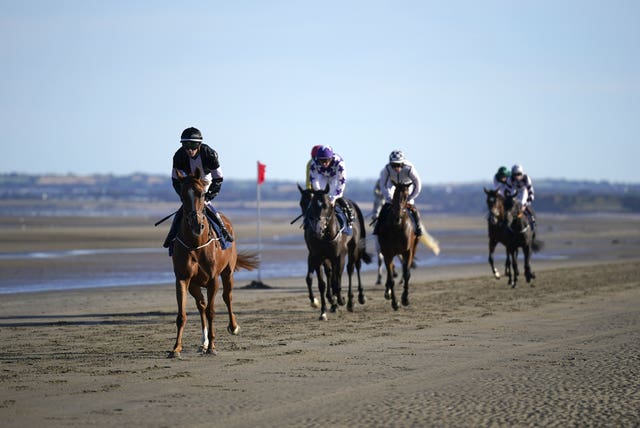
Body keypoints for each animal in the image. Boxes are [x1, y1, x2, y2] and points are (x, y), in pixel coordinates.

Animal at [171, 171, 262, 358]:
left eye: (201, 193)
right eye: (182, 195)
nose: (196, 224)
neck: (196, 244)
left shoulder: (214, 280)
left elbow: (212, 311)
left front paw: (212, 346)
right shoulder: (183, 278)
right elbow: (182, 314)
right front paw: (176, 348)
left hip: (228, 273)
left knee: (227, 297)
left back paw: (233, 327)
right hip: (195, 284)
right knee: (201, 305)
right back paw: (203, 343)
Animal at [298, 182, 372, 320]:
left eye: (326, 205)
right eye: (308, 204)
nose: (318, 229)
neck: (325, 236)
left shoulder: (338, 256)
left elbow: (336, 280)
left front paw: (340, 300)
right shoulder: (316, 256)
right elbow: (321, 283)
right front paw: (323, 311)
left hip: (353, 248)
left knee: (352, 268)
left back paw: (353, 299)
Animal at [376, 182, 420, 310]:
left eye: (406, 196)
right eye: (395, 194)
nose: (397, 217)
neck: (397, 228)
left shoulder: (407, 252)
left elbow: (406, 274)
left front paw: (405, 299)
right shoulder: (387, 253)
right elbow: (391, 277)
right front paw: (395, 302)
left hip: (413, 247)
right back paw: (388, 292)